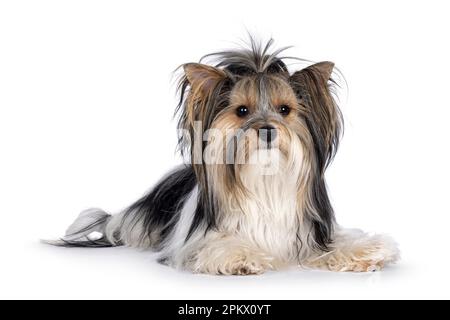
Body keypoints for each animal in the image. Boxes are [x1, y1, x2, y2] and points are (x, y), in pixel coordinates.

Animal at [47, 36, 400, 274]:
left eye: (285, 110)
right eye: (241, 111)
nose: (267, 130)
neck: (264, 182)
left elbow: (341, 241)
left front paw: (369, 251)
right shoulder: (197, 242)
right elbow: (221, 245)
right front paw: (243, 256)